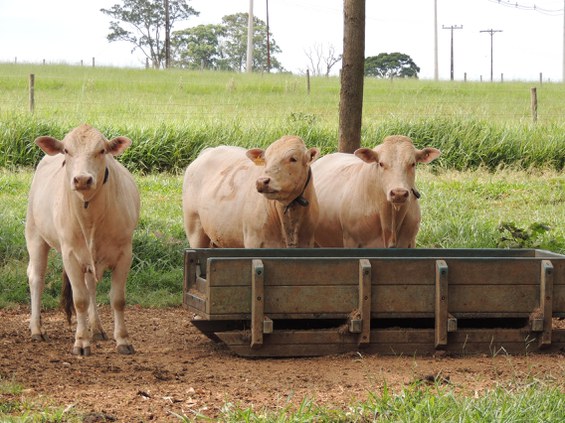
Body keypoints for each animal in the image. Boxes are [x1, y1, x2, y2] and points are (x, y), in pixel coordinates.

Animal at [25, 124, 141, 356]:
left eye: (102, 150)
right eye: (66, 151)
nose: (82, 179)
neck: (91, 218)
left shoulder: (125, 253)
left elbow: (118, 299)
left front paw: (122, 340)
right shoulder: (70, 255)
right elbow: (80, 300)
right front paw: (81, 342)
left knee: (91, 286)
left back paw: (95, 328)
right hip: (35, 235)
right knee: (36, 278)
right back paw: (37, 328)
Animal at [183, 136, 320, 248]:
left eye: (293, 159)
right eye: (266, 160)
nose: (262, 181)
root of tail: (209, 150)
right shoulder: (254, 242)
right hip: (195, 229)